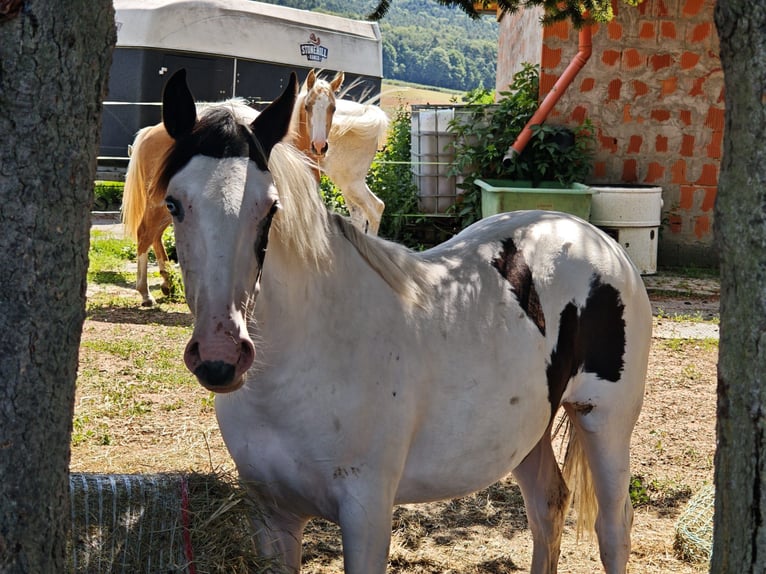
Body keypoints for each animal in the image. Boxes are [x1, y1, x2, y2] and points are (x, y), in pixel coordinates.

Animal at [291, 69, 389, 235]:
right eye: (307, 106)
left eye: (333, 108)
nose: (319, 146)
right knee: (359, 216)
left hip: (351, 183)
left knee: (375, 209)